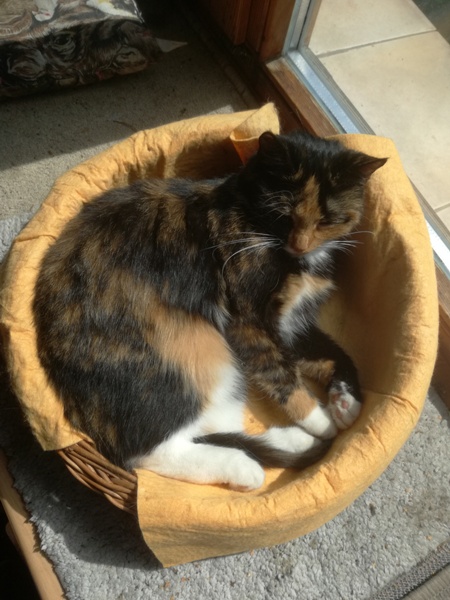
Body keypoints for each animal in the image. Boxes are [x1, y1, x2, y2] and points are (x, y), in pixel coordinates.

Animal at [33, 131, 386, 491]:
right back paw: (247, 468)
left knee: (214, 430)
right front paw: (321, 420)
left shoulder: (291, 323)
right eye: (282, 214)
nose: (299, 244)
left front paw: (347, 402)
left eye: (328, 220)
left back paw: (293, 442)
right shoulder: (248, 322)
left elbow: (334, 353)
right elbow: (281, 374)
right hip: (198, 353)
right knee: (151, 451)